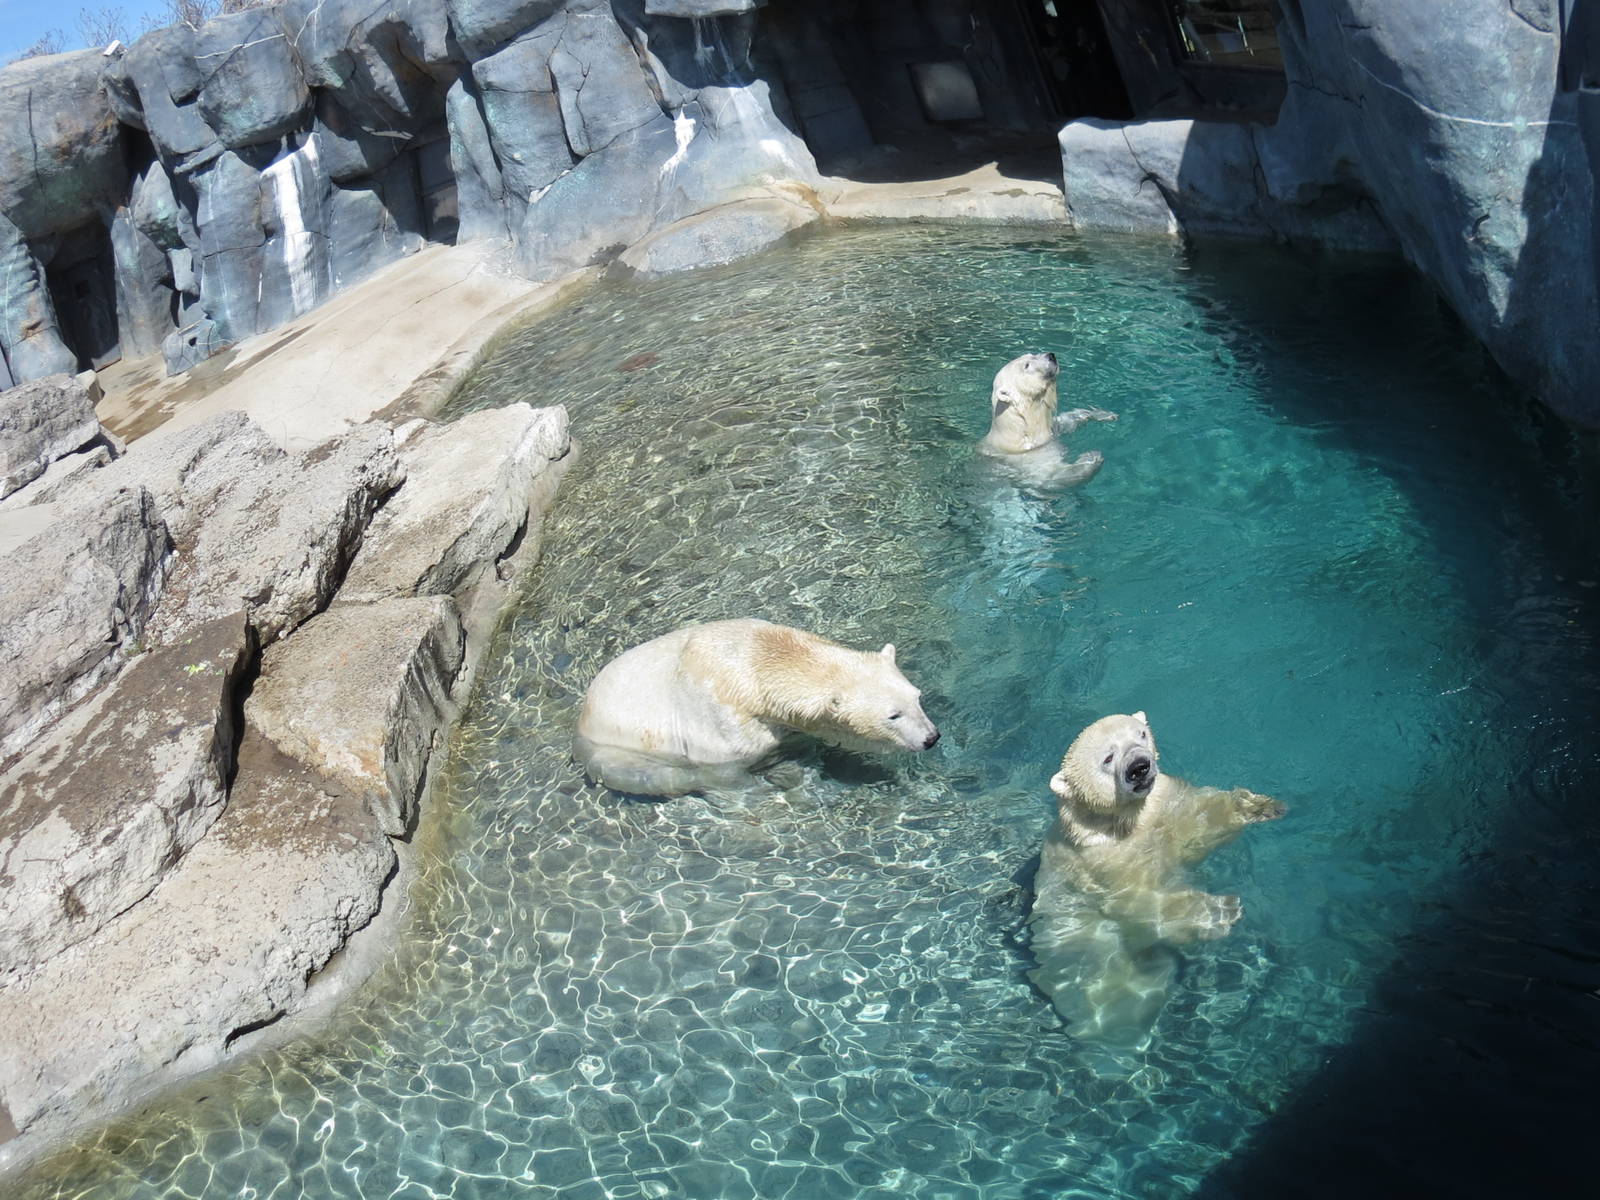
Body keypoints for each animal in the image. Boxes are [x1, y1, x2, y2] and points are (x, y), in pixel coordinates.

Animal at [574, 618, 940, 797]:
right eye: (893, 715)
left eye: (917, 696)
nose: (931, 738)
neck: (754, 660)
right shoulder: (720, 728)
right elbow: (727, 776)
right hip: (617, 755)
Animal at [978, 351, 1117, 489]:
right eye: (1027, 365)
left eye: (1031, 354)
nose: (1051, 355)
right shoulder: (1028, 456)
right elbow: (1051, 477)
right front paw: (1091, 457)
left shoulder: (1050, 431)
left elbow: (1066, 422)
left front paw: (1104, 414)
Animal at [1026, 711, 1284, 1044]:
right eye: (1108, 757)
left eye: (1141, 734)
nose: (1140, 766)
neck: (1124, 824)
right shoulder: (1102, 861)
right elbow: (1138, 898)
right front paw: (1218, 912)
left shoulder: (1165, 809)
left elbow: (1197, 829)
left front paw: (1252, 805)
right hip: (1088, 954)